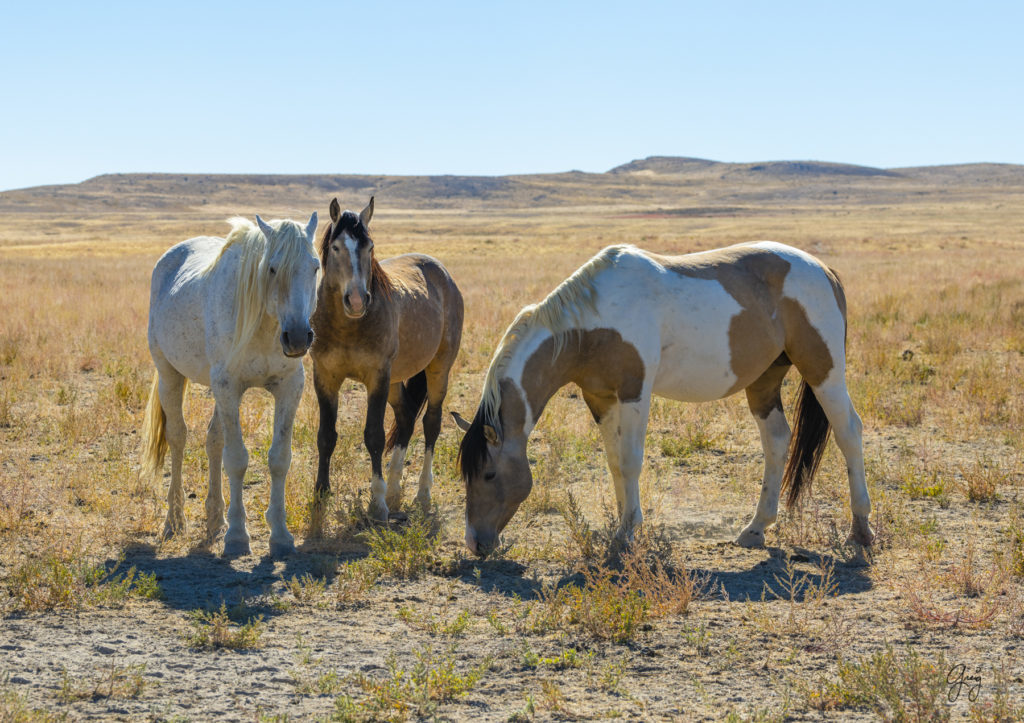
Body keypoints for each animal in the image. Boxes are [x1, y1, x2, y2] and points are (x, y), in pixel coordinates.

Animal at [142, 210, 319, 553]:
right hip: (170, 374)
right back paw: (174, 520)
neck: (265, 326)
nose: (297, 337)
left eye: (316, 267)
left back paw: (214, 518)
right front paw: (238, 535)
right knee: (178, 437)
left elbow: (279, 458)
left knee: (213, 440)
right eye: (272, 268)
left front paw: (280, 534)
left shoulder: (289, 388)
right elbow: (236, 459)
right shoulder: (228, 387)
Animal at [309, 196, 466, 518]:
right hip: (396, 380)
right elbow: (326, 436)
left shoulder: (377, 377)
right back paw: (395, 489)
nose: (357, 300)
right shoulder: (325, 377)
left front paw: (377, 502)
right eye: (336, 247)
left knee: (431, 423)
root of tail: (443, 274)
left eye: (370, 247)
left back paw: (421, 494)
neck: (347, 325)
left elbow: (374, 436)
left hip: (438, 369)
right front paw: (321, 493)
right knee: (406, 417)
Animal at [456, 241, 872, 557]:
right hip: (765, 381)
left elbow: (630, 461)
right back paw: (756, 528)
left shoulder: (634, 392)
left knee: (849, 432)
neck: (590, 322)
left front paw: (627, 533)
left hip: (824, 371)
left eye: (489, 474)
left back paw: (860, 531)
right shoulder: (599, 397)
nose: (475, 543)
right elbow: (614, 463)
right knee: (777, 441)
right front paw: (622, 521)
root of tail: (825, 270)